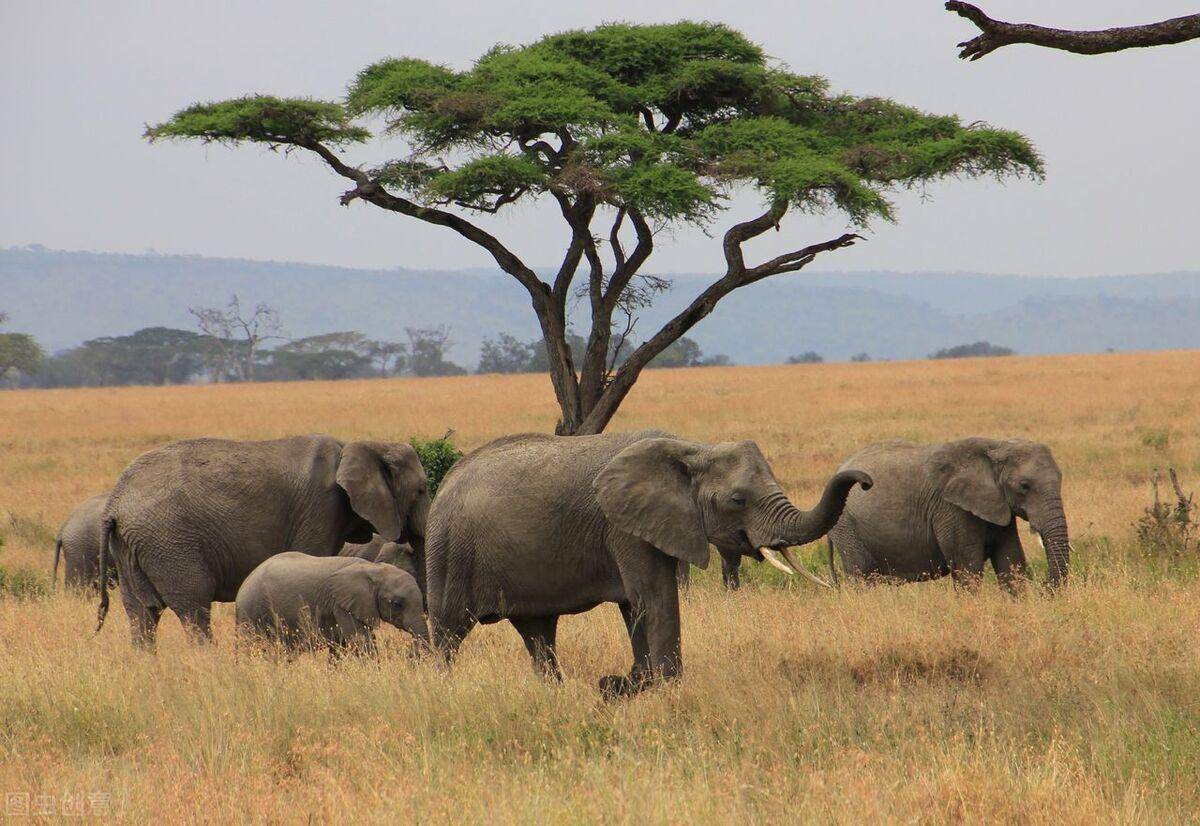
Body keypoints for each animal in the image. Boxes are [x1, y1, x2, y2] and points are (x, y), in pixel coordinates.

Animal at [234, 552, 427, 653]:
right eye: (397, 604)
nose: (410, 652)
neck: (373, 568)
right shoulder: (341, 605)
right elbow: (361, 641)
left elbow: (340, 647)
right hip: (251, 611)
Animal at [424, 432, 873, 696]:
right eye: (737, 500)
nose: (866, 481)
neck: (693, 450)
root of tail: (444, 482)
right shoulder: (622, 525)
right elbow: (653, 598)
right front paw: (665, 690)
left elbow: (635, 606)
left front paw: (632, 684)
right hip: (450, 551)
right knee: (448, 632)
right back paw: (441, 690)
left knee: (538, 633)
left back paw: (554, 693)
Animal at [825, 434, 1070, 590]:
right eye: (1024, 486)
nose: (1044, 585)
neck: (996, 445)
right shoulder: (951, 509)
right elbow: (967, 568)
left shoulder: (998, 505)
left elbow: (1011, 561)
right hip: (847, 526)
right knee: (861, 575)